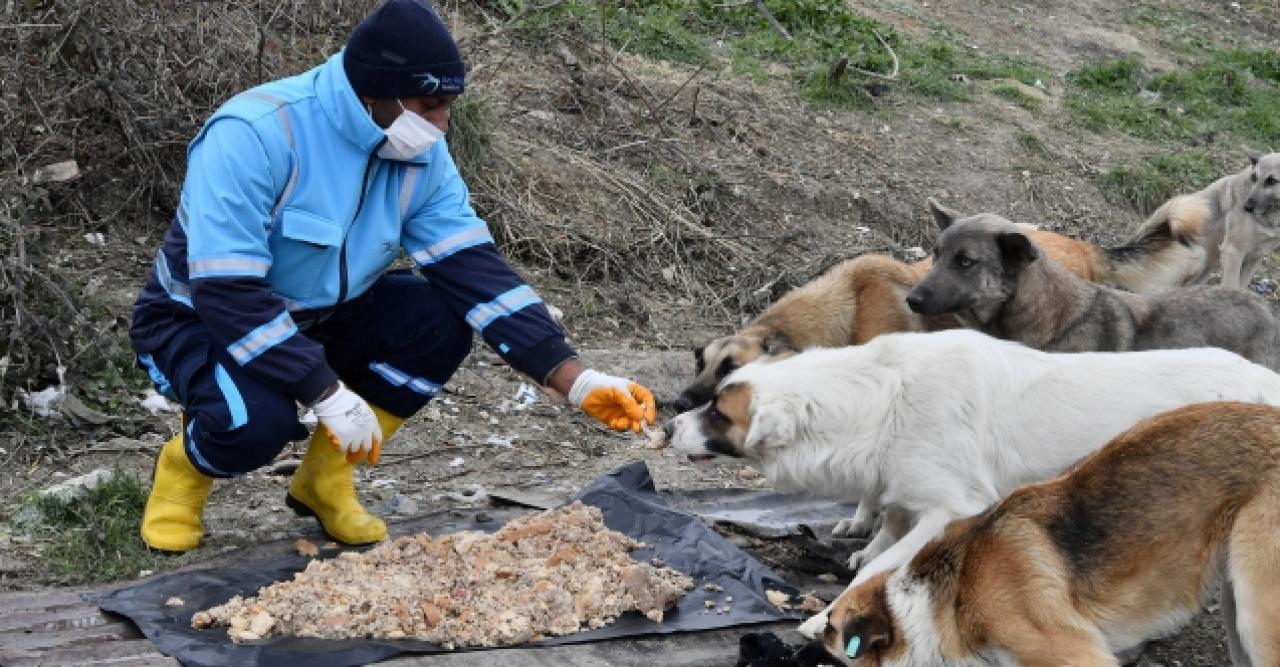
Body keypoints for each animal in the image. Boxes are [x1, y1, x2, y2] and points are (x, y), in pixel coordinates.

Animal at [665, 330, 1280, 637]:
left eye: (718, 413)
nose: (668, 425)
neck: (880, 401)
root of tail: (1263, 380)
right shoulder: (902, 486)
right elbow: (886, 528)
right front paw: (865, 543)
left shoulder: (953, 509)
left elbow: (885, 564)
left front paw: (826, 616)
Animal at [819, 399, 1280, 665]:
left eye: (829, 631)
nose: (813, 636)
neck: (947, 600)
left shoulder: (1073, 653)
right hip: (1236, 608)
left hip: (1258, 616)